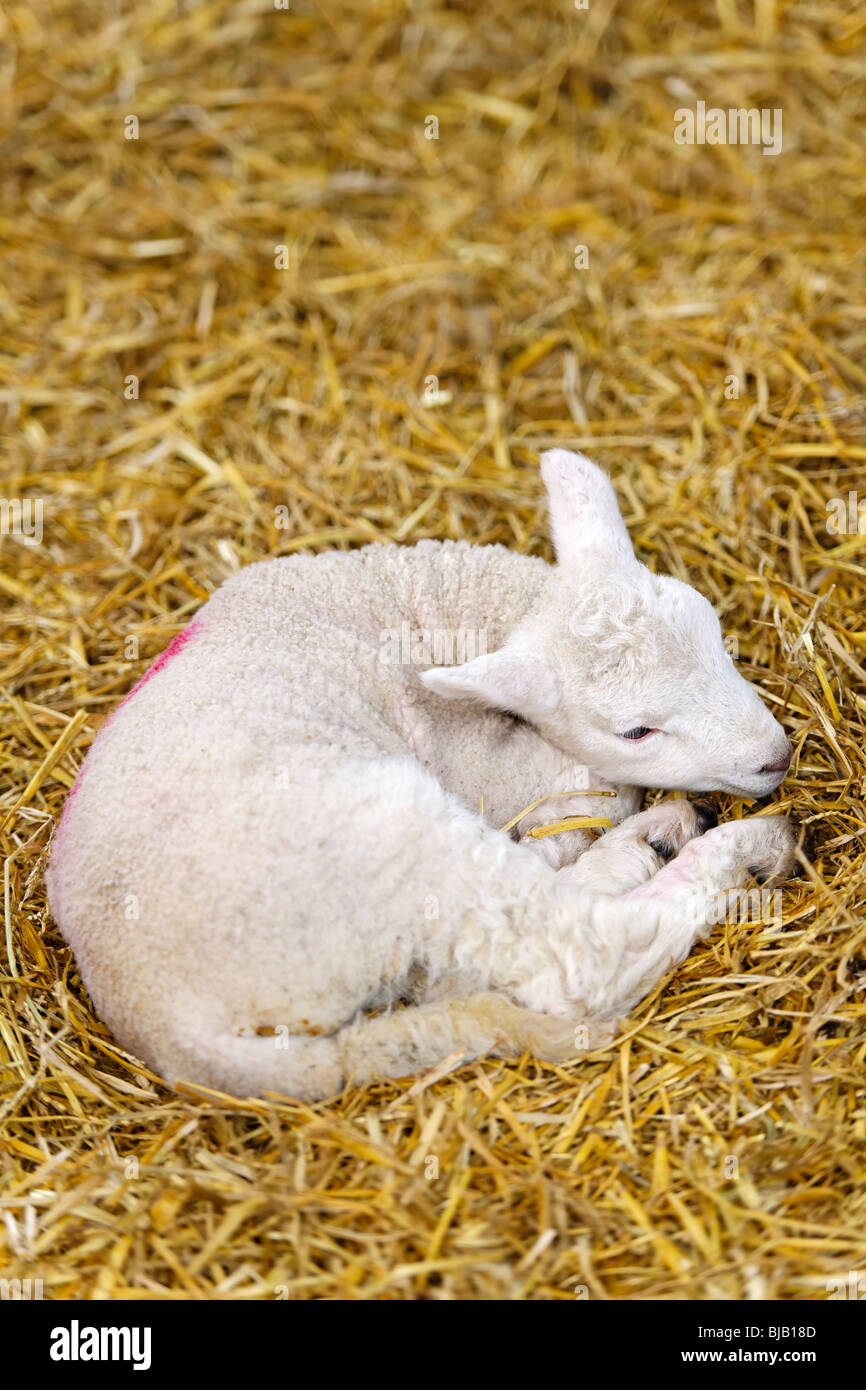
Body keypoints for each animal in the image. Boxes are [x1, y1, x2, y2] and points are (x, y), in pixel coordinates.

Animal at [46, 450, 797, 1100]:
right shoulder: (486, 760)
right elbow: (592, 791)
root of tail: (174, 1030)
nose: (774, 757)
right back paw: (742, 847)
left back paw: (656, 838)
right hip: (392, 844)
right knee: (574, 955)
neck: (442, 612)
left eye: (715, 633)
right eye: (636, 731)